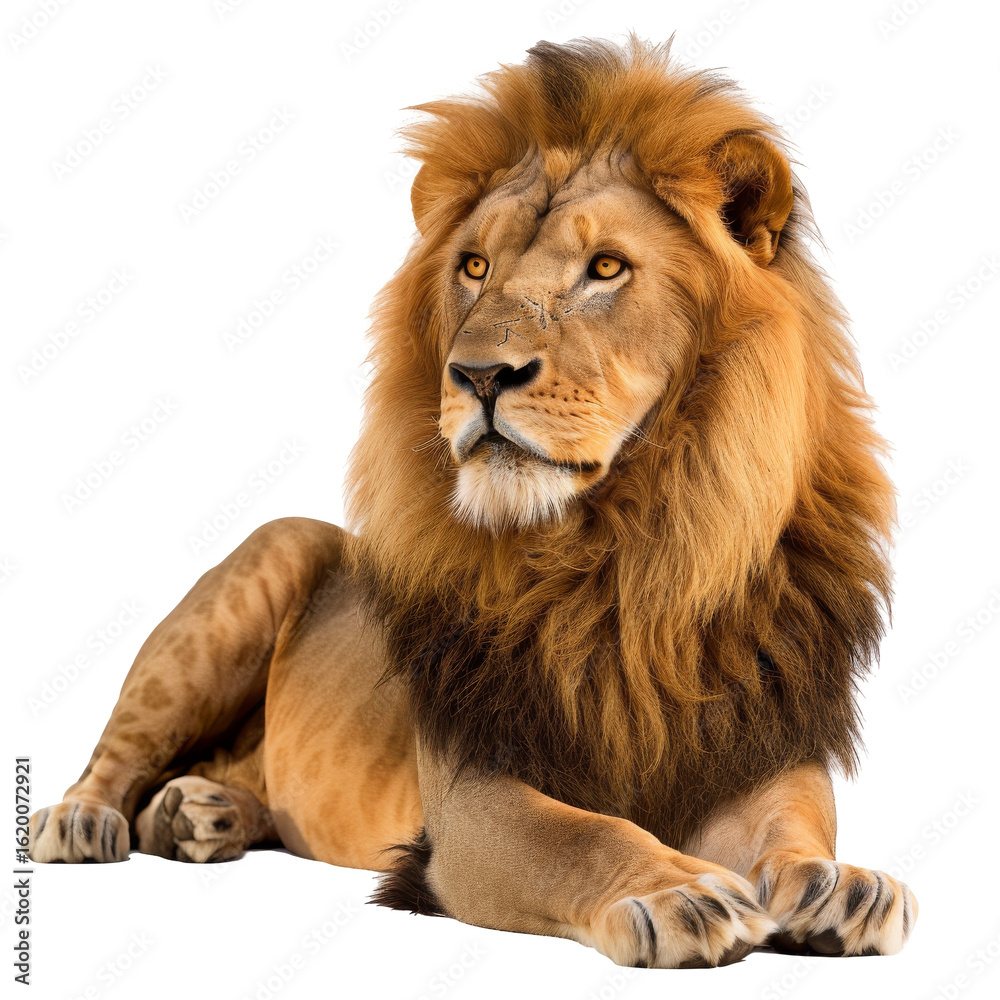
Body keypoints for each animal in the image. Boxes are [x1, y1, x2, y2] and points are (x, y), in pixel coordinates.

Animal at [29, 37, 916, 968]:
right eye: (475, 266)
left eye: (606, 268)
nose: (480, 374)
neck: (627, 554)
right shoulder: (470, 798)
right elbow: (584, 835)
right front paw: (678, 893)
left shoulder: (763, 743)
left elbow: (793, 824)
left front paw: (839, 884)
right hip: (266, 559)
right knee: (120, 754)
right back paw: (86, 818)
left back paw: (200, 813)